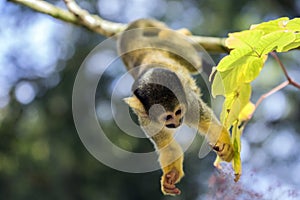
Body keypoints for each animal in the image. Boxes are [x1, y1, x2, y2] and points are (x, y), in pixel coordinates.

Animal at [118, 19, 234, 195]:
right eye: (167, 117)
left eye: (178, 112)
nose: (177, 122)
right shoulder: (146, 119)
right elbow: (169, 148)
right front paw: (171, 175)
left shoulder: (189, 102)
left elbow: (210, 124)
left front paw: (225, 148)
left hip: (174, 46)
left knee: (193, 62)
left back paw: (185, 33)